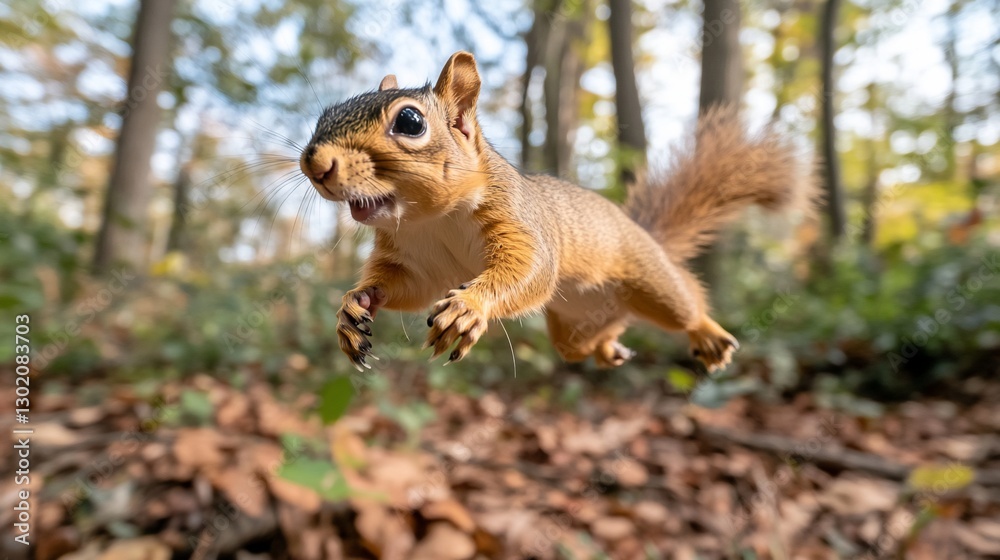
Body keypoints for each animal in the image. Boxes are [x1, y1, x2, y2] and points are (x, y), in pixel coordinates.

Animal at [299, 52, 817, 373]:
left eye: (410, 122)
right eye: (324, 114)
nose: (315, 164)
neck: (430, 219)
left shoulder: (518, 222)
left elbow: (531, 268)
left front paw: (468, 309)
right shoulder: (415, 260)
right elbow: (403, 287)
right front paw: (354, 306)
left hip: (651, 281)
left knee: (685, 300)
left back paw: (706, 332)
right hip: (573, 331)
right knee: (588, 344)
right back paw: (610, 351)